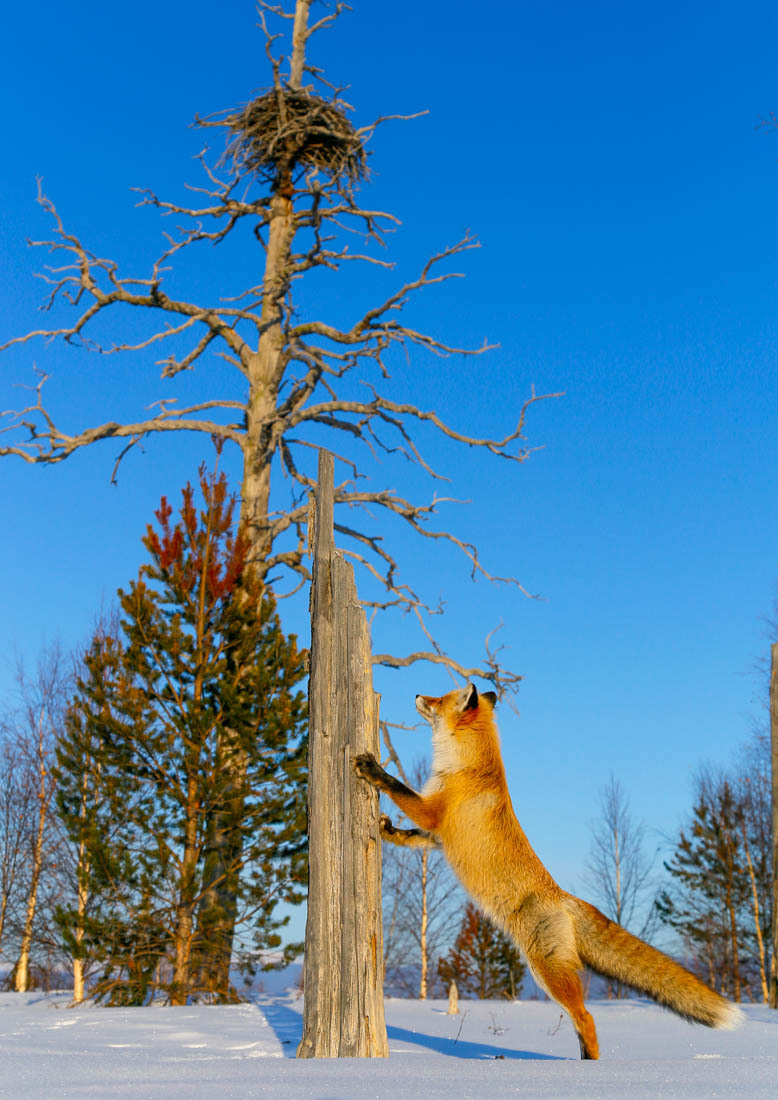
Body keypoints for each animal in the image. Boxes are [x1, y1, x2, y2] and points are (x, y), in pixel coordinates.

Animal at [354, 686, 743, 1056]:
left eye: (439, 698)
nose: (417, 694)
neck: (469, 766)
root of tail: (564, 897)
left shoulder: (433, 812)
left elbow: (399, 788)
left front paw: (373, 770)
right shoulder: (437, 836)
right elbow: (411, 837)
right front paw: (388, 831)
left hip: (548, 972)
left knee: (586, 1017)